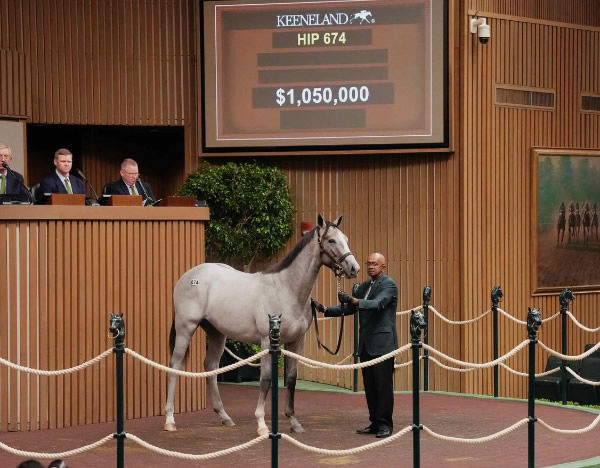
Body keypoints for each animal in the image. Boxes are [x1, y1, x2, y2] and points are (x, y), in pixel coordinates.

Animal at [164, 215, 358, 436]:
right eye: (331, 240)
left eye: (346, 238)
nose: (353, 268)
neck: (287, 290)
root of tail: (188, 277)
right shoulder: (267, 341)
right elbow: (265, 379)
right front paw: (262, 424)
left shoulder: (296, 341)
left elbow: (291, 378)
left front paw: (294, 421)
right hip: (185, 328)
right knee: (175, 366)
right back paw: (170, 420)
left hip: (217, 333)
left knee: (211, 366)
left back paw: (224, 416)